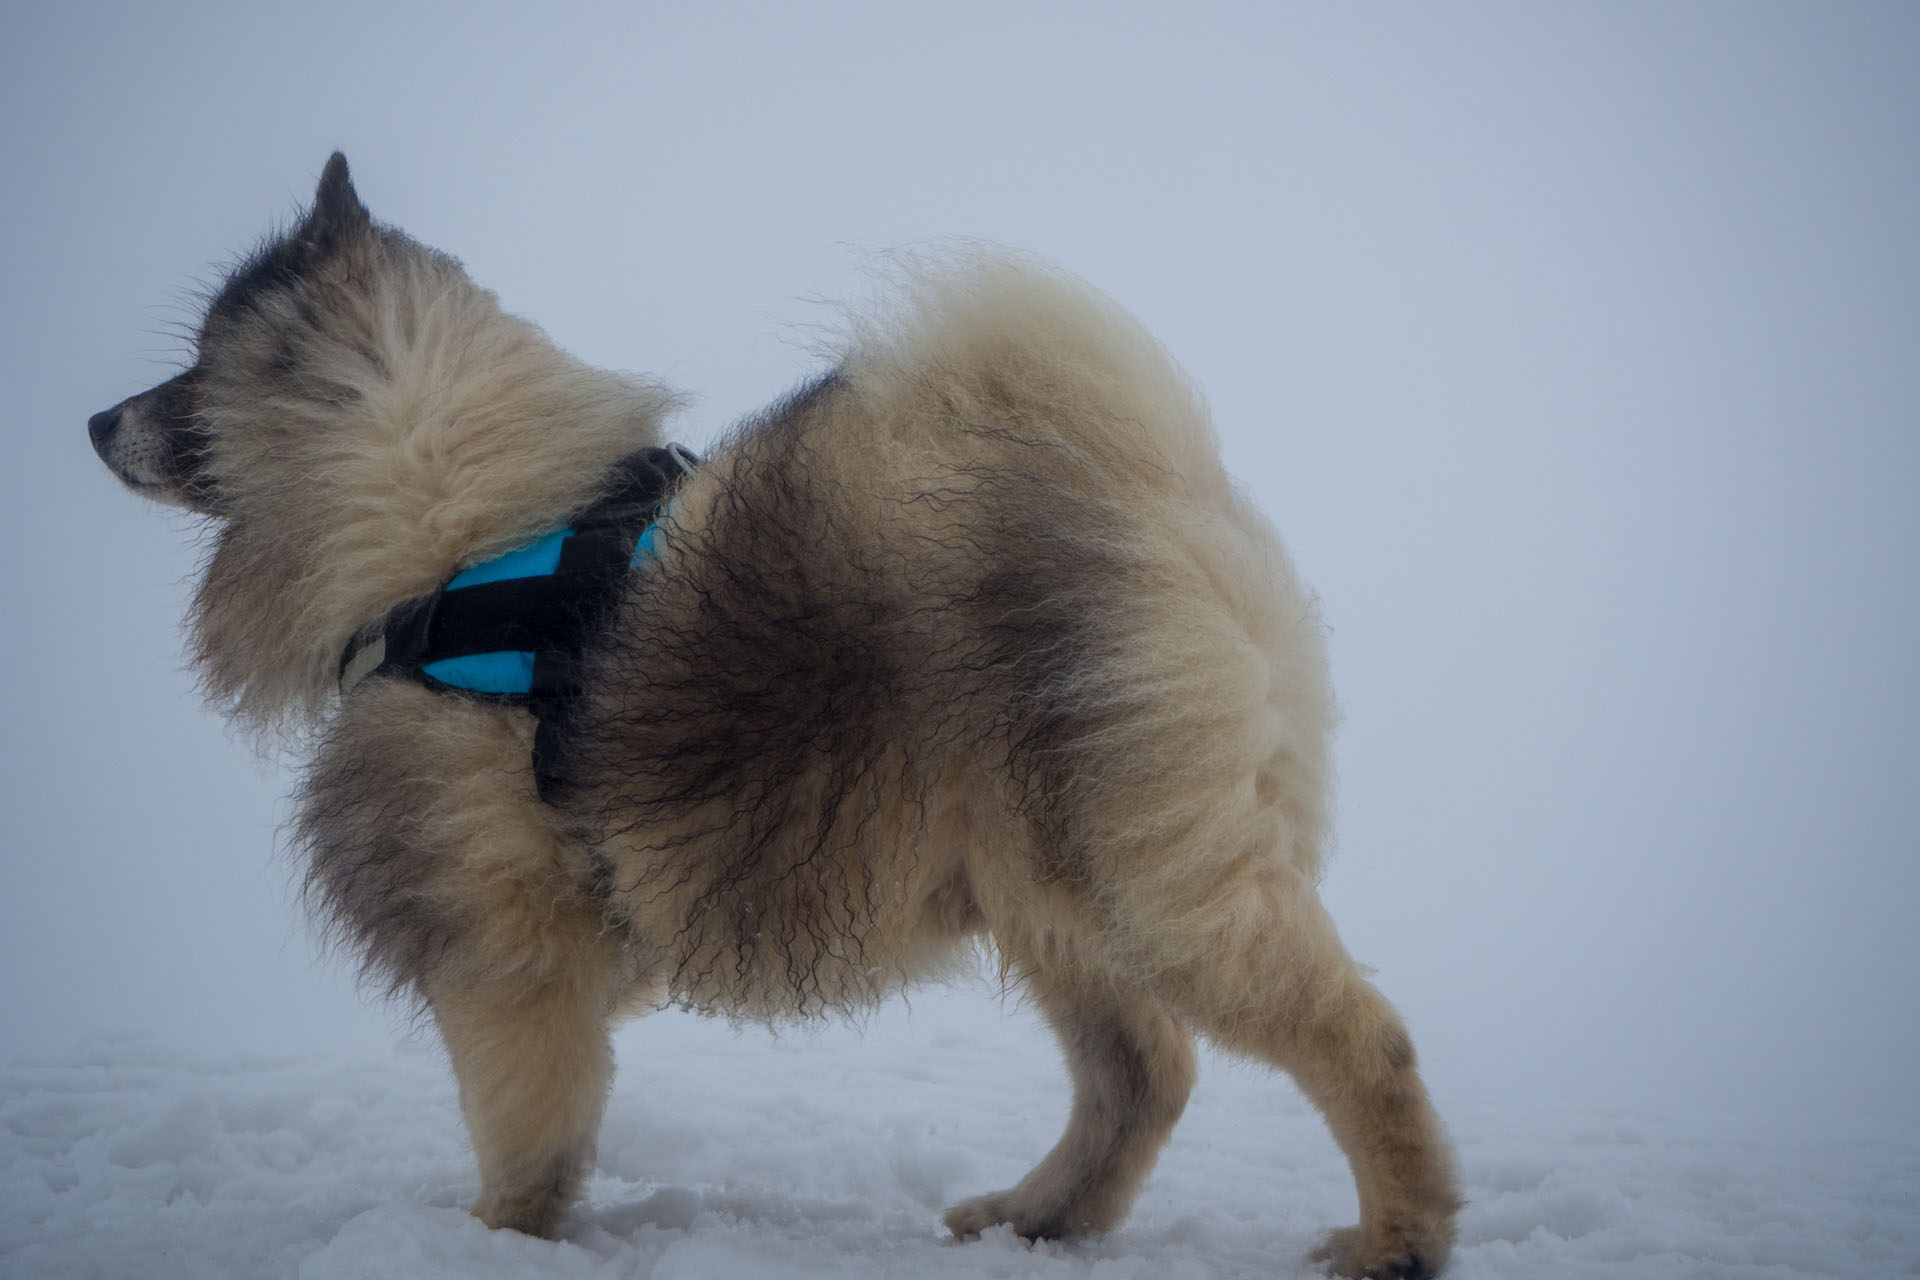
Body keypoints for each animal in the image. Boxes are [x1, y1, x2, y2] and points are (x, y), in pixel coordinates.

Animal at [90, 155, 1459, 1274]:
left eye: (192, 368)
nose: (97, 419)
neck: (450, 535)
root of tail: (1156, 488)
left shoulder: (505, 957)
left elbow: (523, 1134)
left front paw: (494, 1243)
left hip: (1145, 875)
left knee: (1361, 1040)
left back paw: (1398, 1236)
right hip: (1048, 887)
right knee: (1144, 1071)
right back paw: (1037, 1216)